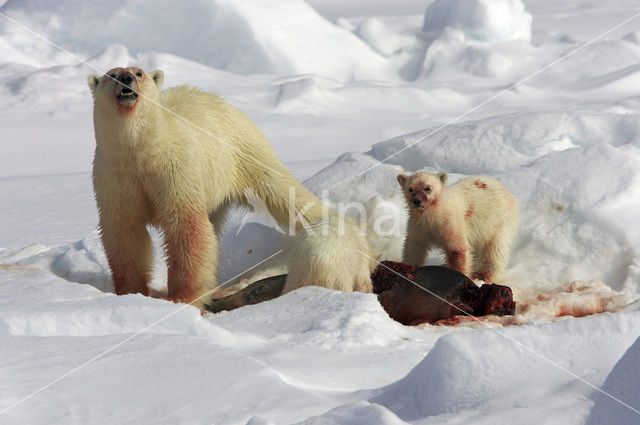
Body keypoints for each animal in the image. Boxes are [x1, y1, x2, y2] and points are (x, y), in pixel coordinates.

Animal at [87, 66, 372, 306]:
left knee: (283, 190)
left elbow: (185, 226)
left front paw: (182, 298)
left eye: (139, 72)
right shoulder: (113, 177)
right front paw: (131, 293)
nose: (126, 79)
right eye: (112, 74)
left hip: (242, 151)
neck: (140, 151)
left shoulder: (175, 170)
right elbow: (124, 230)